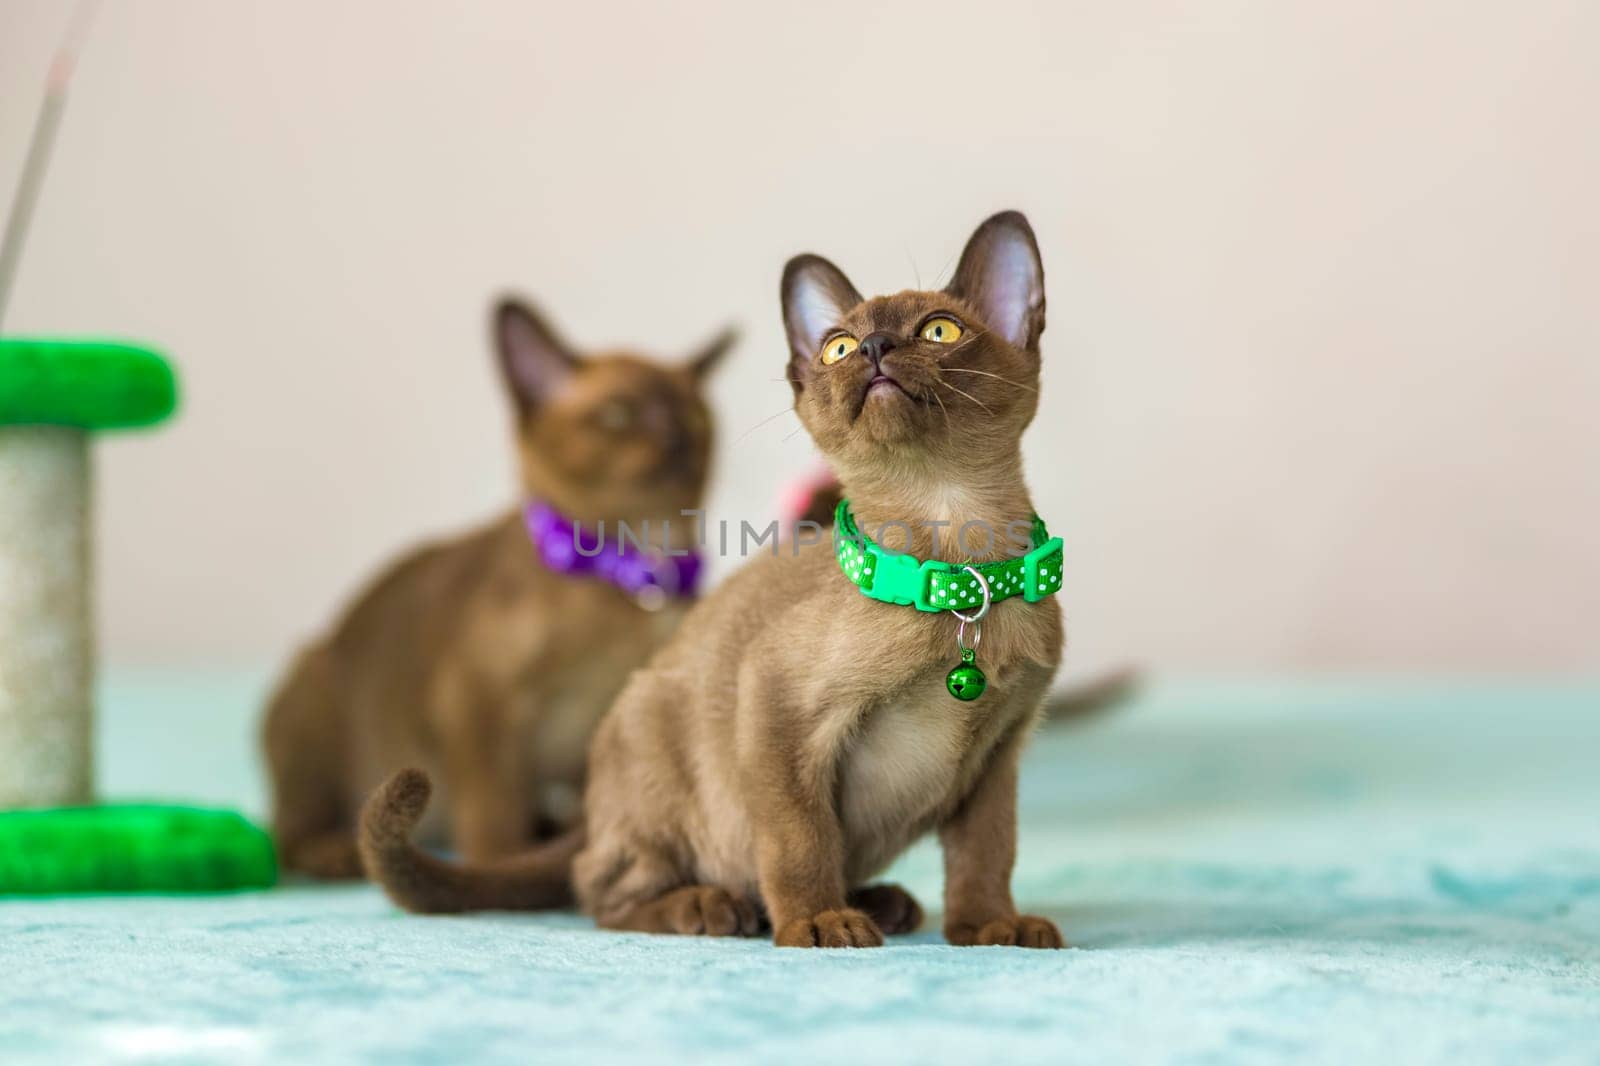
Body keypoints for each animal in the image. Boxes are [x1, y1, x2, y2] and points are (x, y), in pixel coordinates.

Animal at [265, 294, 732, 877]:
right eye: (618, 414)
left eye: (694, 415)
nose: (676, 439)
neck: (637, 565)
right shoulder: (477, 701)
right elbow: (493, 814)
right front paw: (507, 866)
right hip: (314, 692)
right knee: (287, 835)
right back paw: (335, 852)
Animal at [356, 211, 1068, 941]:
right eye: (837, 348)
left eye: (938, 331)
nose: (872, 346)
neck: (958, 566)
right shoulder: (774, 710)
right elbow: (801, 841)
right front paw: (816, 924)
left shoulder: (997, 758)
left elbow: (986, 854)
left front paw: (991, 930)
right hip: (653, 739)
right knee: (599, 894)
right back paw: (713, 907)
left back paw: (880, 902)